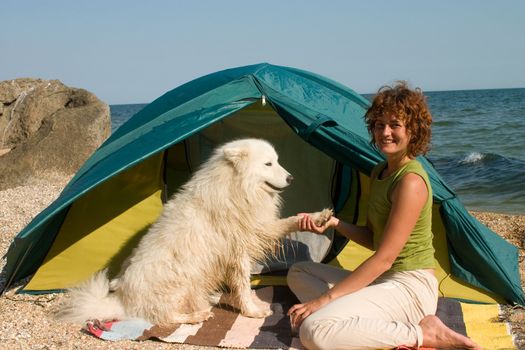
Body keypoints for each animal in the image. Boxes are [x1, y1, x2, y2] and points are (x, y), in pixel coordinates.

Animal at [57, 138, 332, 326]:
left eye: (277, 161)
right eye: (268, 163)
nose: (291, 178)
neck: (235, 187)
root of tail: (121, 300)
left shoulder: (252, 234)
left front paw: (319, 217)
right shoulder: (241, 249)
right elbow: (244, 285)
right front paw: (252, 311)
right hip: (180, 281)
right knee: (164, 317)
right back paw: (197, 315)